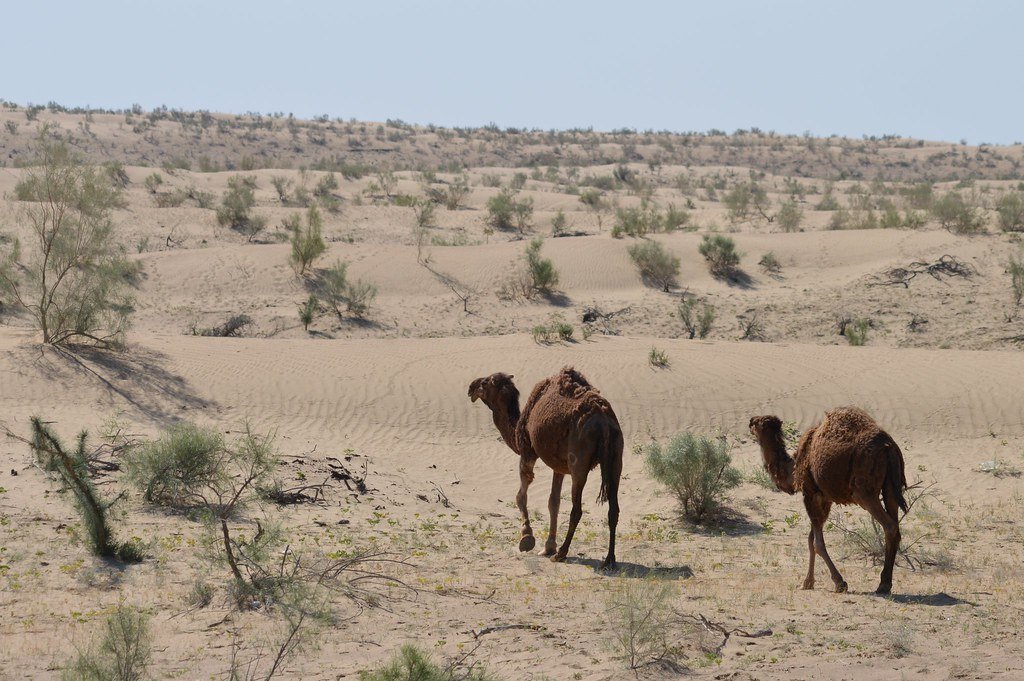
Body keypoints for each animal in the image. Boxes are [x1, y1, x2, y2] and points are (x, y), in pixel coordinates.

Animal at [466, 366, 622, 569]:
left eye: (485, 382)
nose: (471, 387)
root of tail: (604, 423)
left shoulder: (527, 451)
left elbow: (520, 496)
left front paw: (527, 538)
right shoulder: (559, 466)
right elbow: (553, 502)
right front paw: (548, 546)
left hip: (578, 462)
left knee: (577, 510)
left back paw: (562, 554)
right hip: (616, 458)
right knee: (614, 509)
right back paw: (609, 559)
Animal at [749, 405, 909, 593]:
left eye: (757, 422)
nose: (750, 421)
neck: (794, 467)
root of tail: (888, 447)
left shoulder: (810, 493)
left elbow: (816, 543)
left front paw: (839, 582)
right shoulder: (825, 498)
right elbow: (810, 539)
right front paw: (808, 582)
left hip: (864, 491)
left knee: (889, 526)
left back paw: (883, 585)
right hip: (891, 486)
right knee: (895, 524)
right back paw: (886, 582)